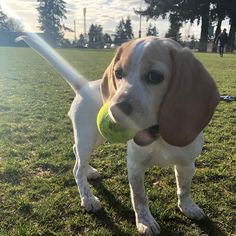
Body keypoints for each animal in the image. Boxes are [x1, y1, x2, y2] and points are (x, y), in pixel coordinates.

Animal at [20, 36, 219, 235]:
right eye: (118, 73)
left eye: (154, 76)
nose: (115, 108)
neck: (158, 136)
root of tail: (84, 86)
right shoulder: (135, 166)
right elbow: (140, 198)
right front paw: (145, 222)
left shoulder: (187, 164)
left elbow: (184, 189)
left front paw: (188, 207)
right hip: (87, 137)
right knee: (77, 168)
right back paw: (88, 198)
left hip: (97, 138)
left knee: (75, 151)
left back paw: (89, 171)